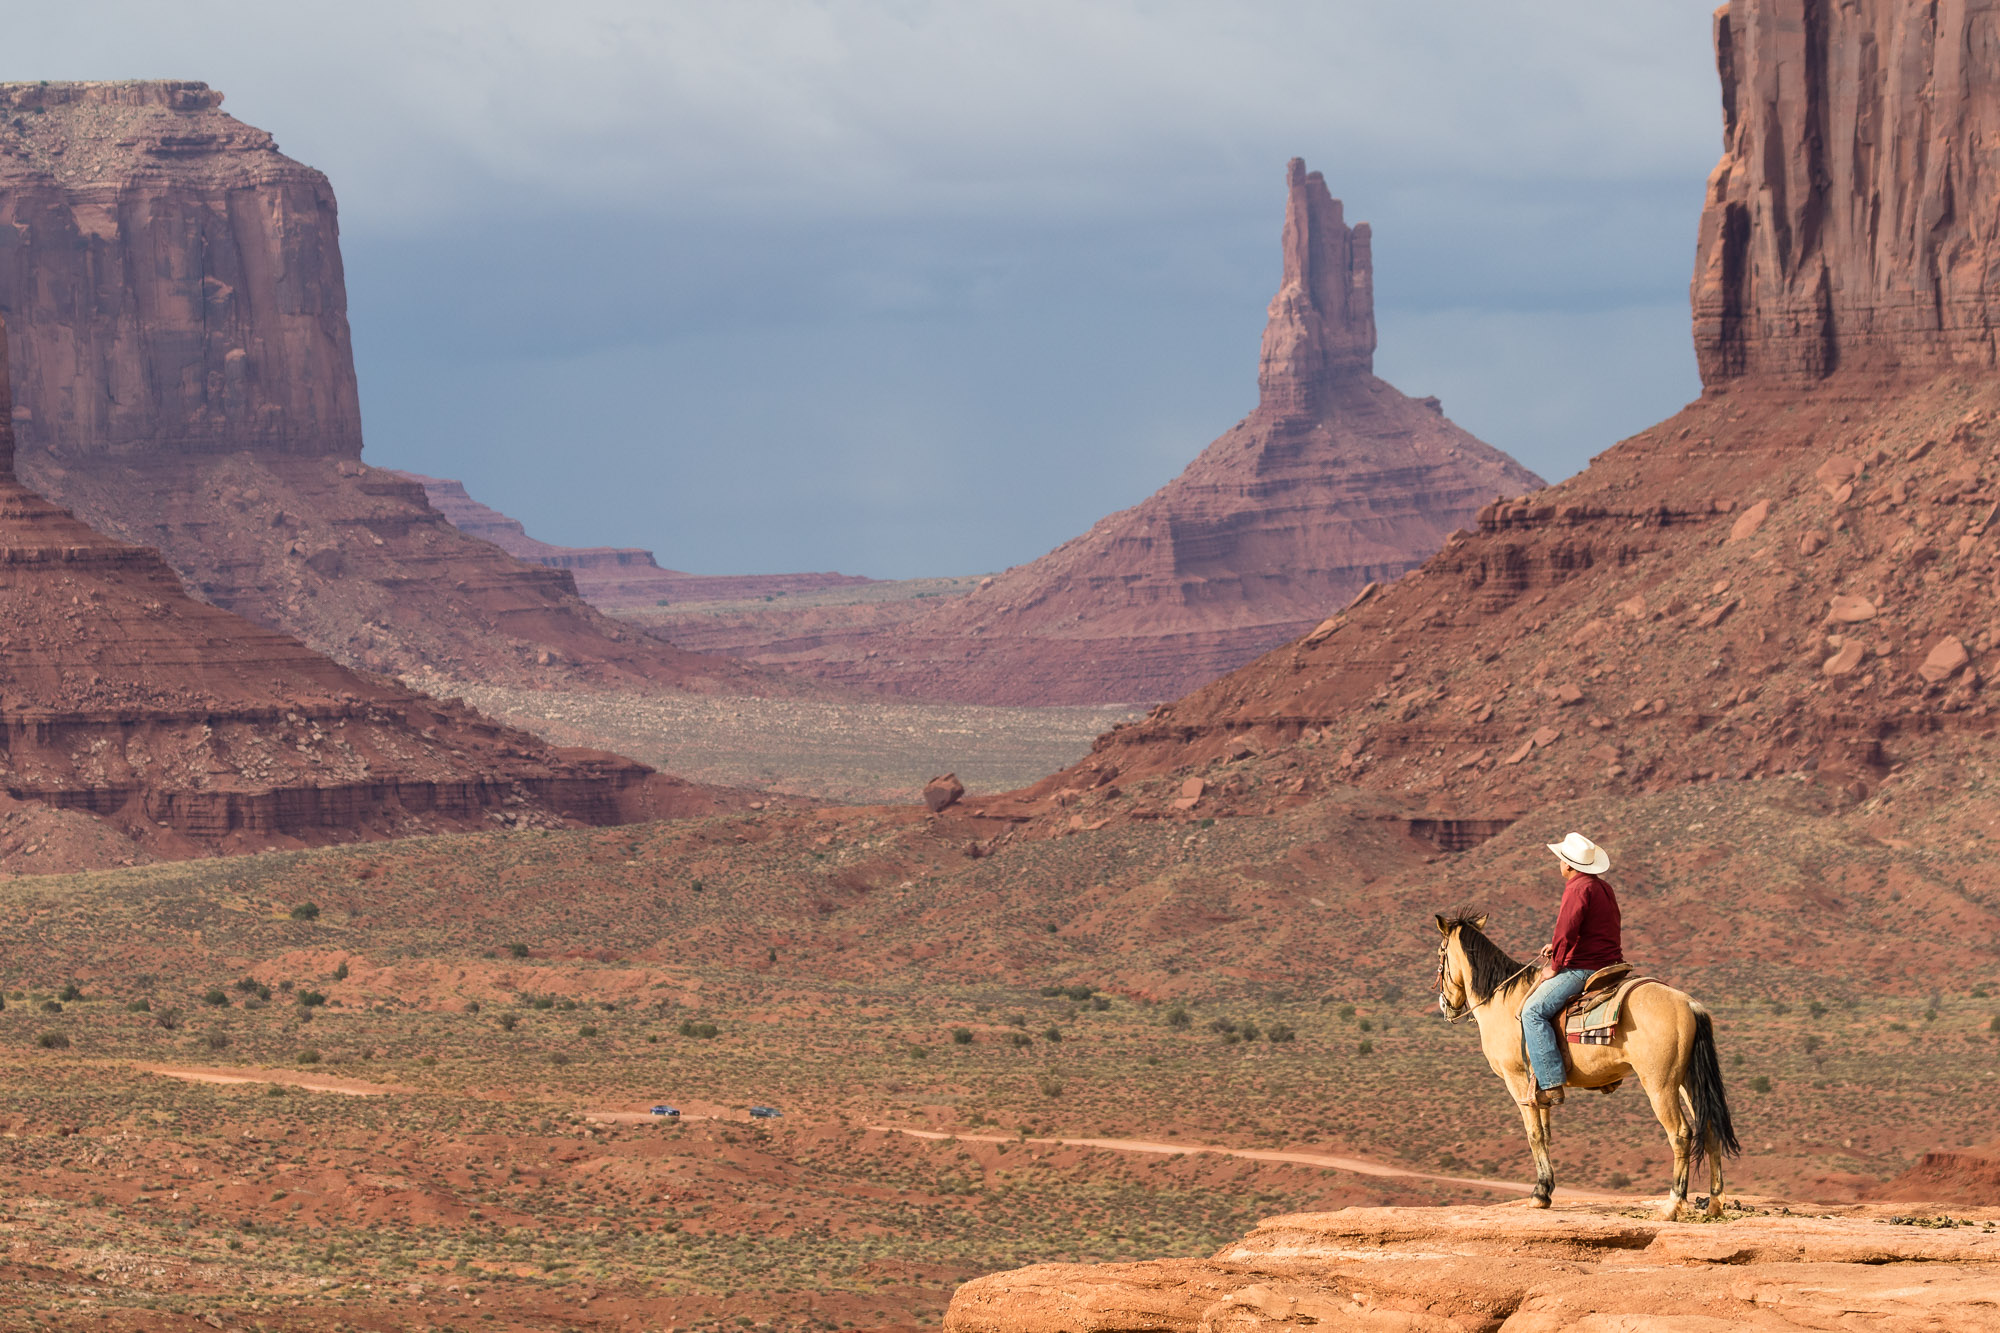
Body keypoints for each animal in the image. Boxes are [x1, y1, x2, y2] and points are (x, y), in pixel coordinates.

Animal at [1432, 912, 1744, 1216]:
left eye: (1440, 954)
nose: (1445, 1006)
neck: (1502, 1001)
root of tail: (1688, 1004)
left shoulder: (1518, 1082)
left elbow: (1534, 1135)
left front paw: (1538, 1195)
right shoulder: (1540, 1089)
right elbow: (1546, 1134)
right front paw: (1545, 1189)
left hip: (1660, 1084)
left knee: (1680, 1134)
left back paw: (1672, 1205)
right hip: (1687, 1081)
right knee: (1710, 1128)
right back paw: (1715, 1204)